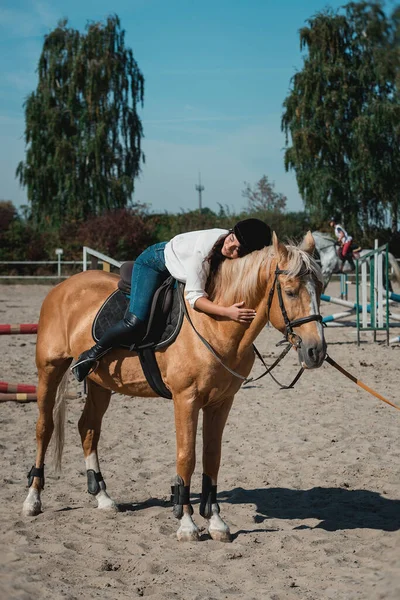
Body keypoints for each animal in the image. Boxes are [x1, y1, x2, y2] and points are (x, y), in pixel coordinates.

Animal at [22, 232, 324, 540]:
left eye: (321, 287)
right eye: (290, 292)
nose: (316, 351)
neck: (214, 325)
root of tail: (63, 287)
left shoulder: (221, 402)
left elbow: (212, 457)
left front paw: (216, 521)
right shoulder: (186, 399)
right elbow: (186, 456)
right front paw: (187, 522)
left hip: (100, 382)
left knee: (88, 428)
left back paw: (103, 497)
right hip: (50, 369)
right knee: (44, 428)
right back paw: (33, 499)